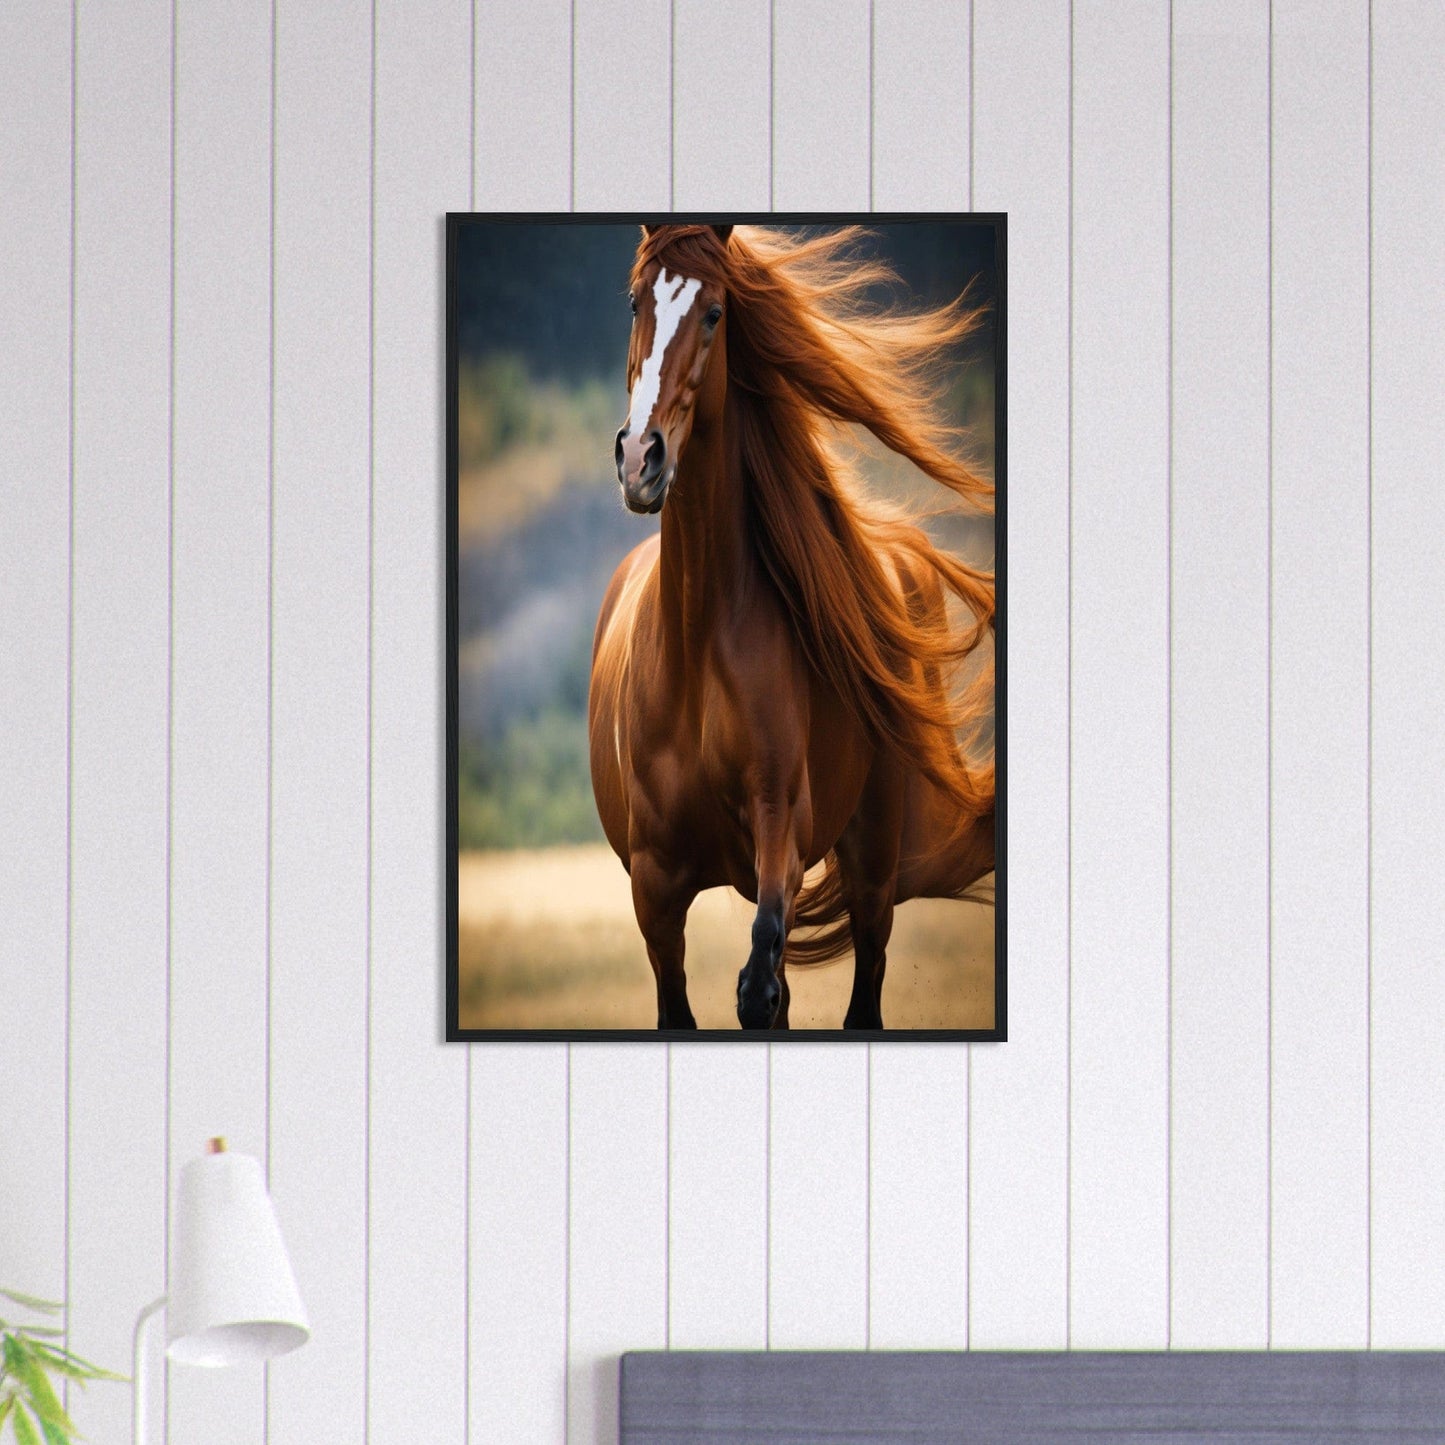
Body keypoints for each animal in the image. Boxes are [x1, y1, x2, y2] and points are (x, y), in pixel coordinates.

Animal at [587, 222, 996, 1031]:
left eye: (715, 312)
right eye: (635, 301)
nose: (640, 461)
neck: (694, 645)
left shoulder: (781, 827)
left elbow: (758, 986)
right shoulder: (654, 887)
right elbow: (691, 1005)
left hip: (869, 860)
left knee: (854, 986)